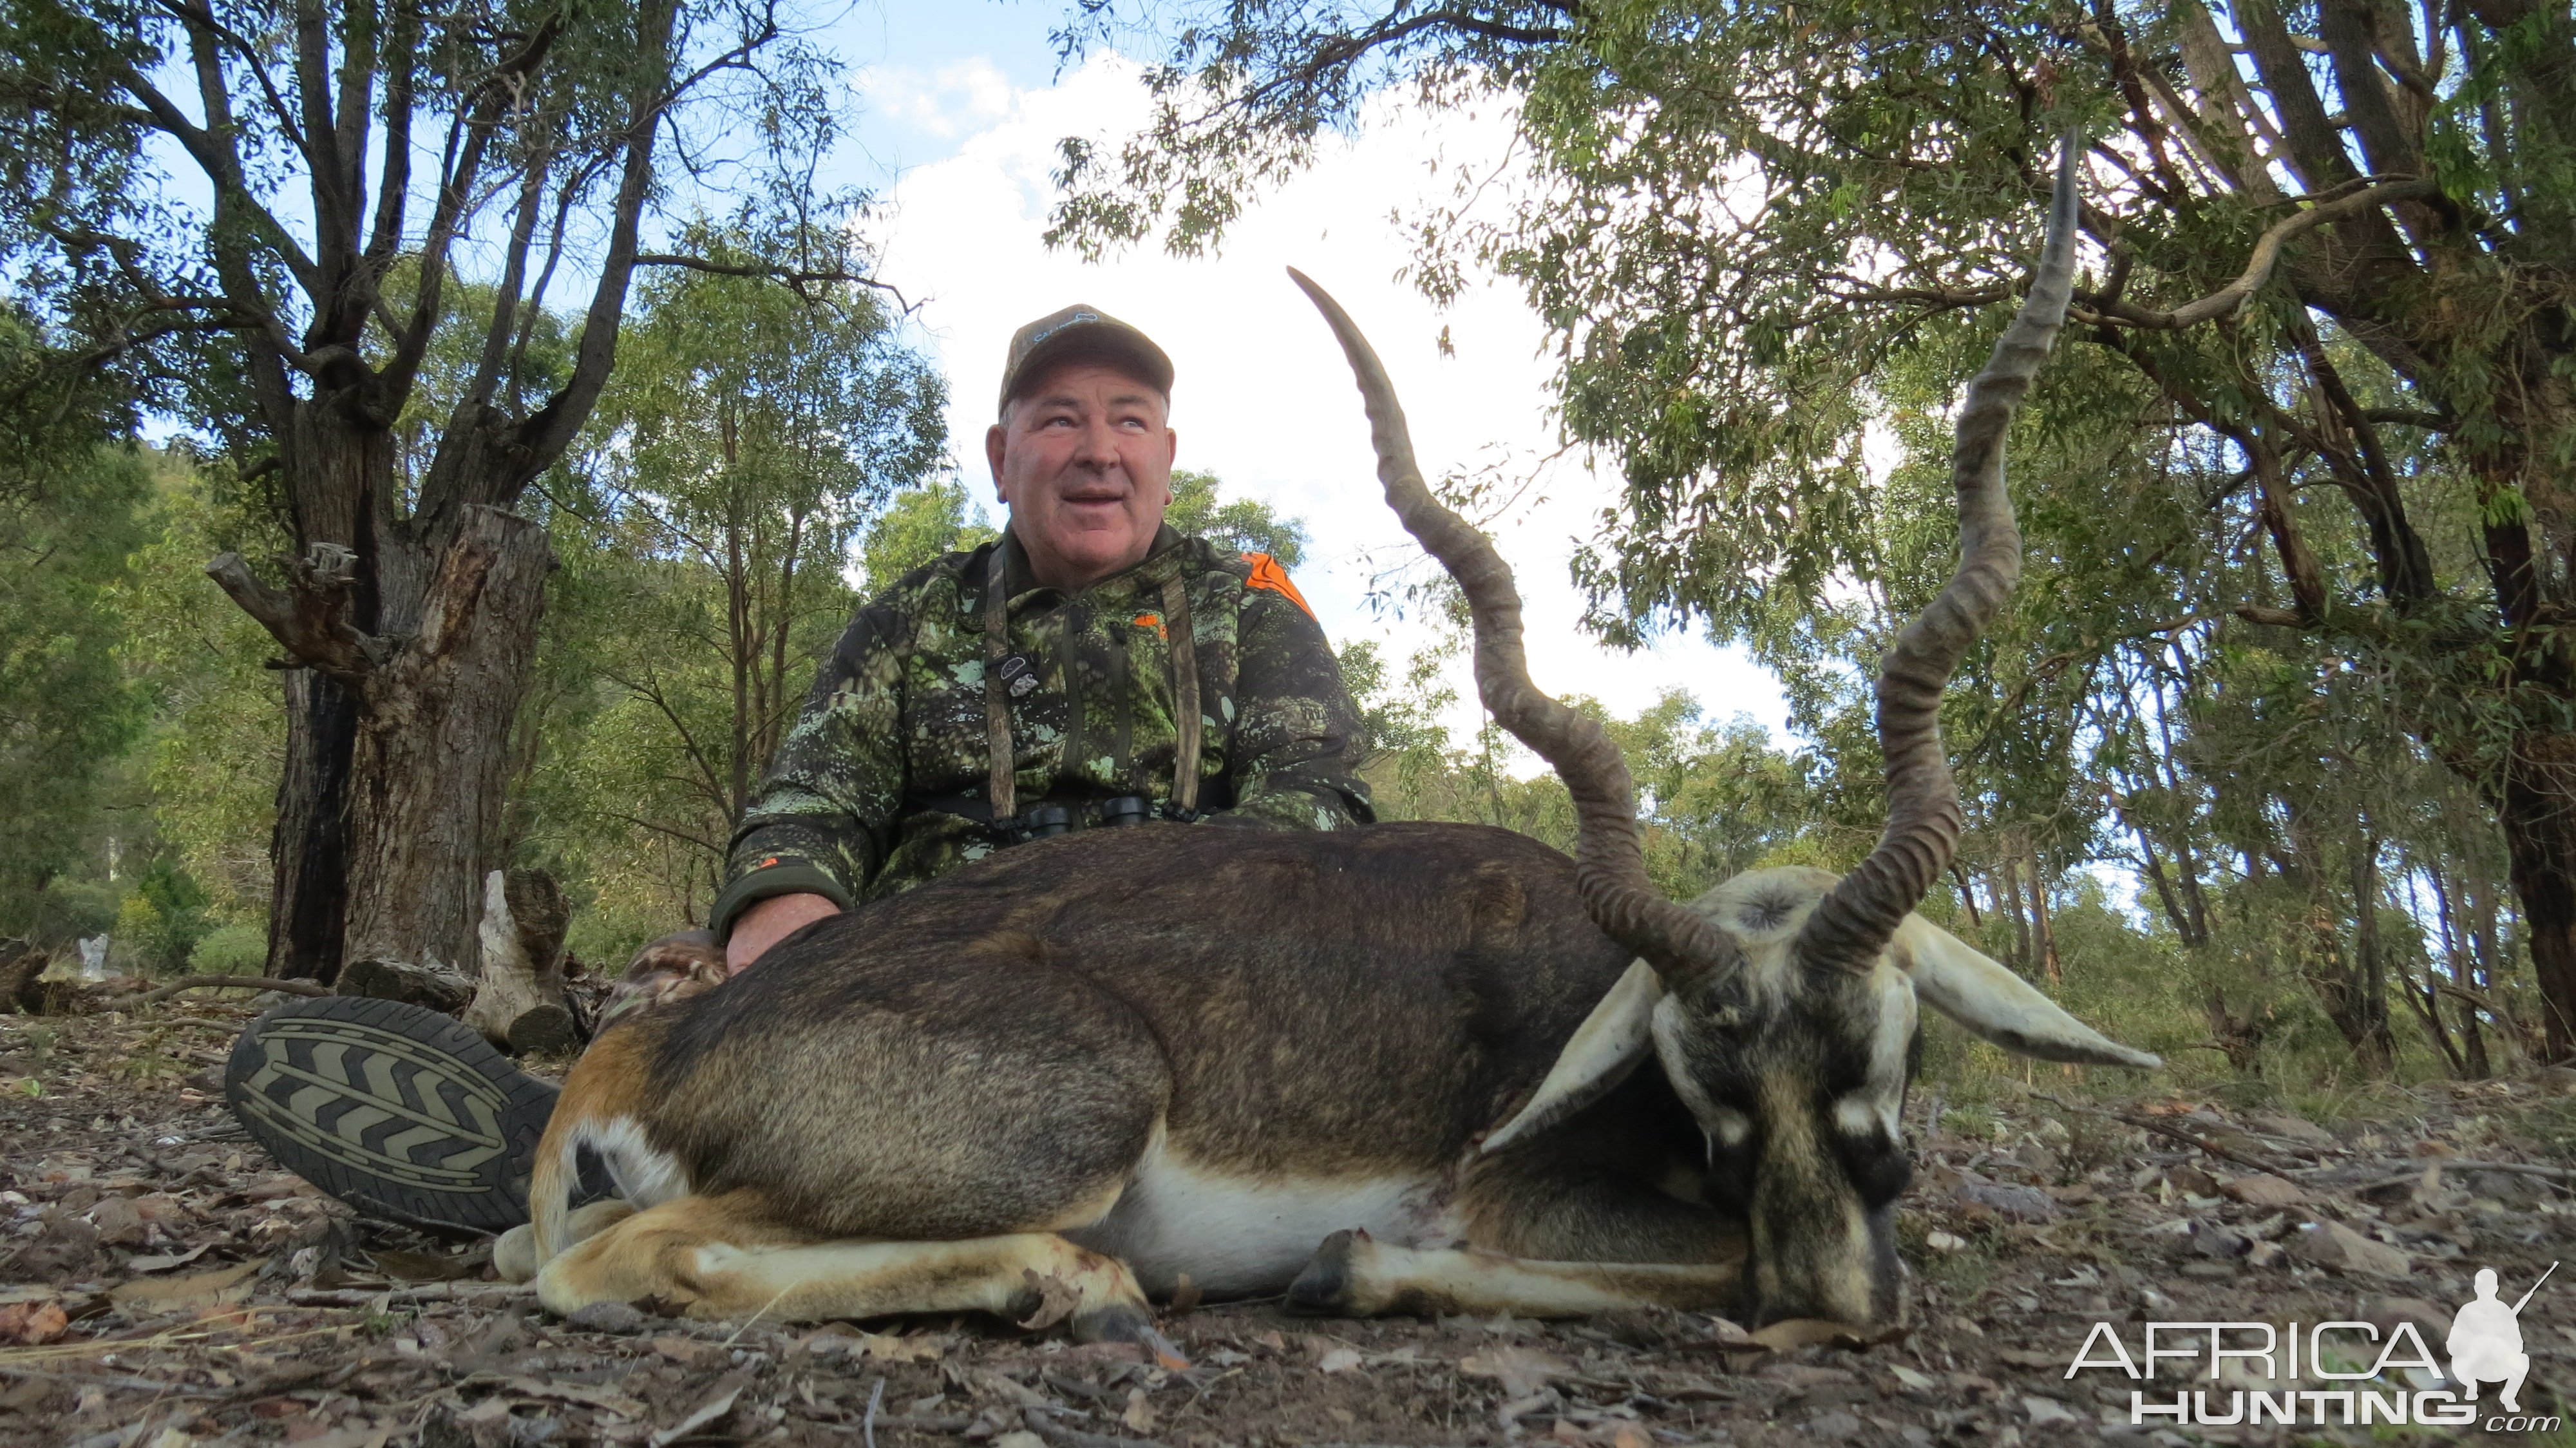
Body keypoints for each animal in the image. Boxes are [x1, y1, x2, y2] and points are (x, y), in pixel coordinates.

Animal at [502, 144, 2154, 1329]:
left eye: (1889, 1047)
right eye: (1706, 1094)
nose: (1841, 1305)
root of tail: (654, 1042)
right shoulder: (1527, 1202)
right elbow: (1704, 1261)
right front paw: (1350, 1264)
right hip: (1071, 1121)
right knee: (618, 1258)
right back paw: (1076, 1282)